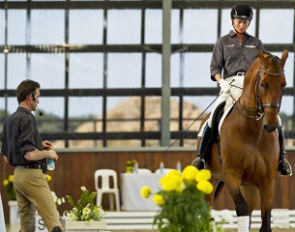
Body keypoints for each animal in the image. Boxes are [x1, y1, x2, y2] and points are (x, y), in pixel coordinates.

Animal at [204, 49, 290, 232]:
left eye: (283, 84)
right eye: (263, 84)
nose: (271, 124)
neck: (251, 131)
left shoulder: (267, 180)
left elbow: (265, 220)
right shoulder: (231, 174)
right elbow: (241, 208)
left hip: (249, 185)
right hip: (210, 177)